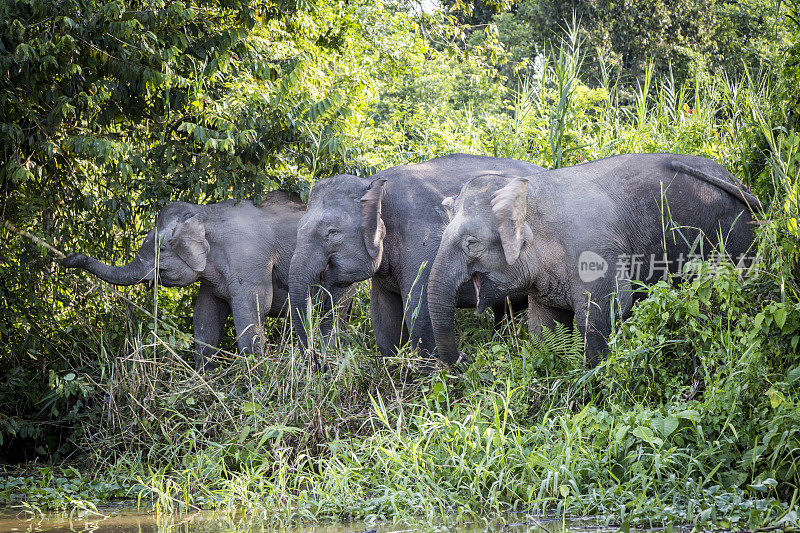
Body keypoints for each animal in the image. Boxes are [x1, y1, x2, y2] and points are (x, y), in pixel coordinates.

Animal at [61, 191, 306, 370]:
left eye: (161, 249)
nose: (68, 258)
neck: (204, 212)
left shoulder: (249, 260)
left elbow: (251, 310)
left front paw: (253, 377)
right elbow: (206, 315)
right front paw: (205, 377)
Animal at [288, 152, 544, 364]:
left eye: (331, 232)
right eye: (298, 229)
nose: (317, 359)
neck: (374, 183)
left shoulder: (423, 243)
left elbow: (419, 313)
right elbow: (384, 319)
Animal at [432, 152, 764, 364]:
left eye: (471, 244)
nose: (466, 357)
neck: (529, 192)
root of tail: (734, 179)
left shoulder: (595, 255)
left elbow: (603, 313)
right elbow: (543, 329)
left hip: (733, 231)